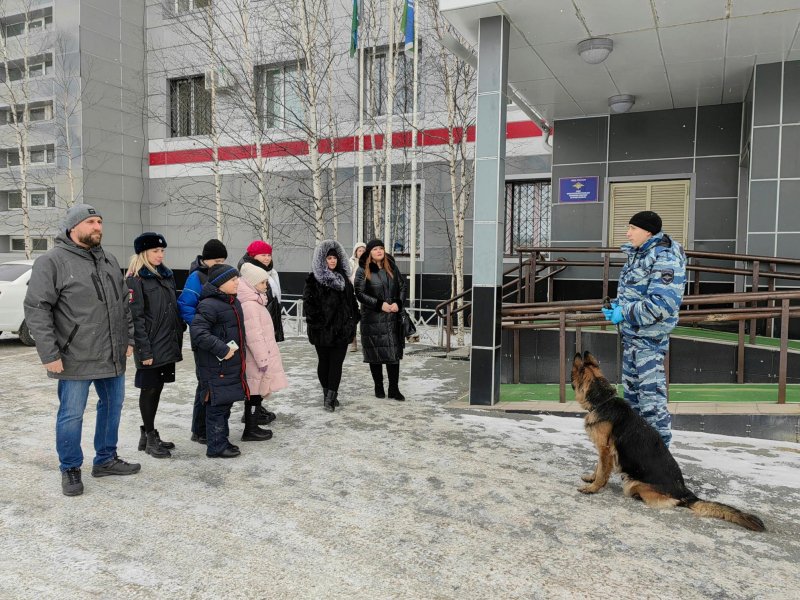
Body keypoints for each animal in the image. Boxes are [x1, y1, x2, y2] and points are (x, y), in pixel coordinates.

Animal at [572, 350, 764, 532]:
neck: (603, 400)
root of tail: (685, 492)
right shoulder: (603, 449)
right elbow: (598, 467)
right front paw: (591, 478)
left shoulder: (605, 449)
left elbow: (602, 471)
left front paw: (592, 488)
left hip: (633, 483)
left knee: (672, 502)